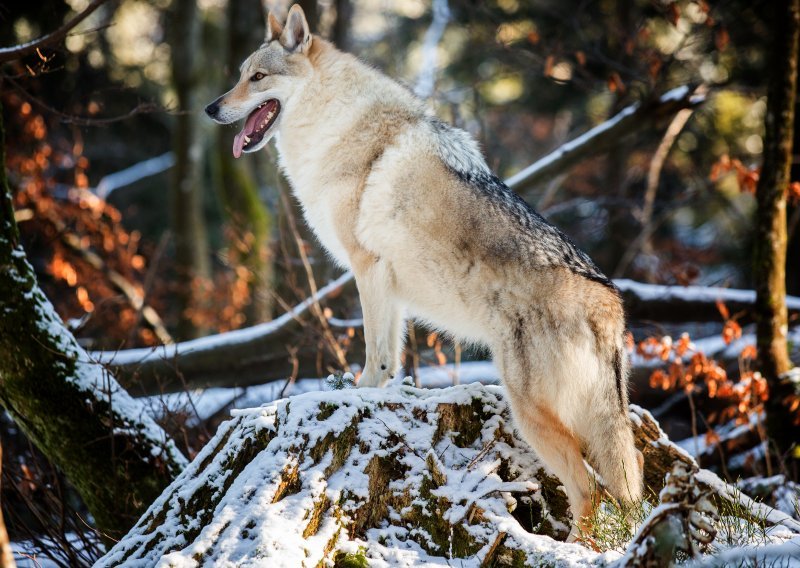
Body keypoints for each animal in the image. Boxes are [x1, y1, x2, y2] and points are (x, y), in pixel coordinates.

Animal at [206, 3, 644, 536]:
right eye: (239, 75)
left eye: (258, 77)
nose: (211, 109)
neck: (336, 121)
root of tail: (609, 304)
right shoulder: (389, 286)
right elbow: (391, 357)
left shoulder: (367, 268)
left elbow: (374, 355)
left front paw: (359, 394)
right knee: (630, 477)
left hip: (533, 414)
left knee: (590, 492)